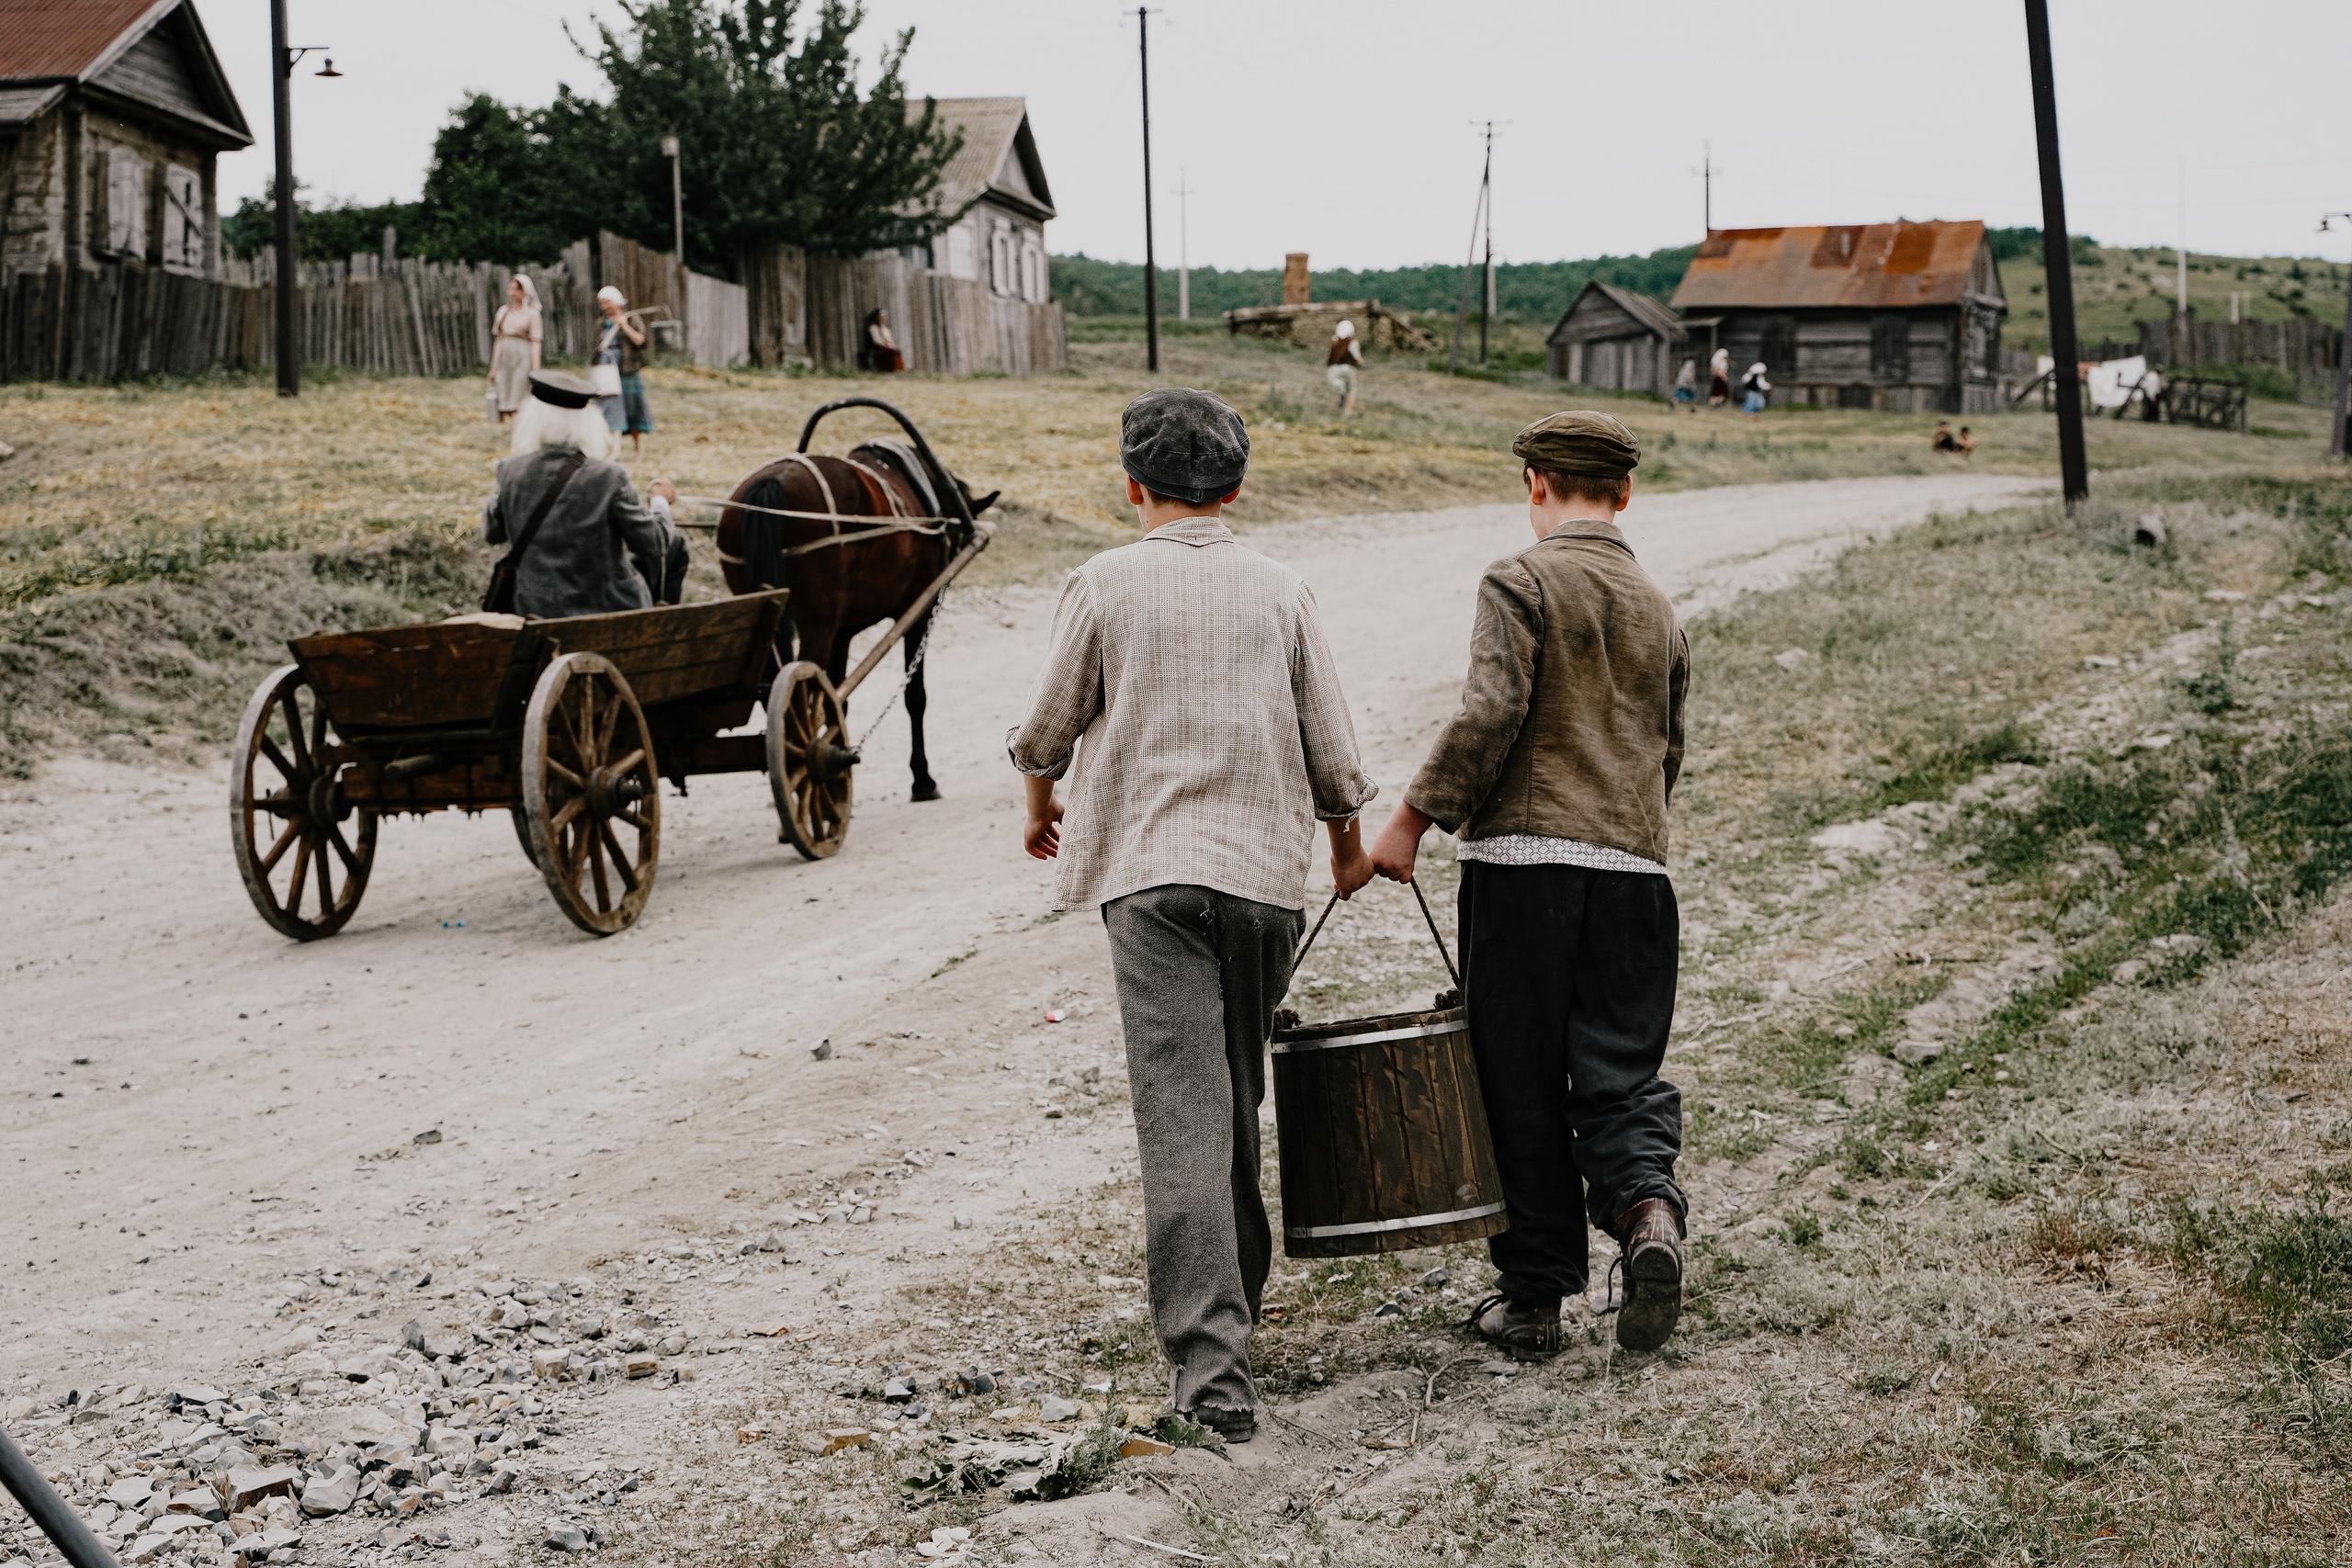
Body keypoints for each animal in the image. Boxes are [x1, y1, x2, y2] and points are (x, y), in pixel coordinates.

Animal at [710, 444, 997, 804]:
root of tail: (771, 484)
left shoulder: (842, 633)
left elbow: (836, 700)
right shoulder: (918, 609)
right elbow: (914, 695)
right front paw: (922, 778)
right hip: (818, 624)